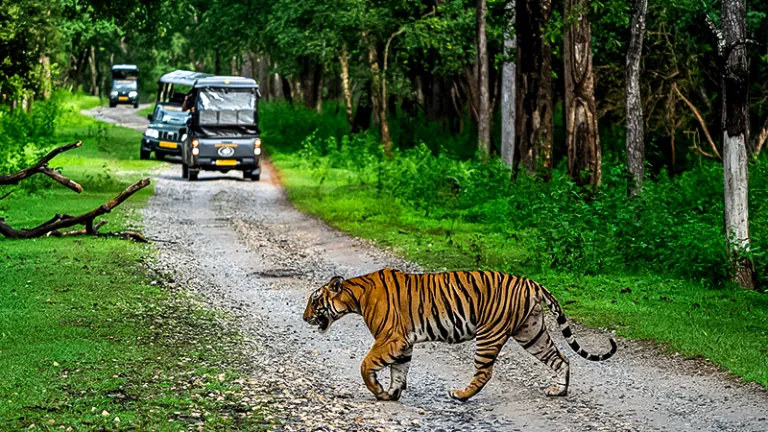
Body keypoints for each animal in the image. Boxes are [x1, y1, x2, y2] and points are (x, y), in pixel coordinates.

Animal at [302, 266, 616, 402]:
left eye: (314, 301)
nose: (304, 318)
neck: (355, 297)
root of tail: (531, 282)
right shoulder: (403, 343)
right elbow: (399, 370)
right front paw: (391, 393)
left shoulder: (391, 338)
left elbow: (366, 364)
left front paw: (378, 391)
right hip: (531, 332)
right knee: (561, 358)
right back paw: (558, 391)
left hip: (490, 333)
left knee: (484, 372)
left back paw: (461, 395)